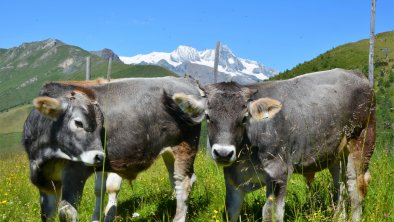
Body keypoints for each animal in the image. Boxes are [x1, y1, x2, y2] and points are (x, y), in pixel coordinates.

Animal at [22, 76, 202, 222]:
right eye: (78, 122)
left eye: (101, 126)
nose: (99, 156)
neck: (45, 156)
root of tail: (185, 80)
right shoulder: (45, 184)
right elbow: (47, 215)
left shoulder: (74, 173)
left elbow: (67, 213)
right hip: (169, 151)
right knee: (176, 180)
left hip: (185, 145)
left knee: (183, 182)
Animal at [175, 68, 376, 221]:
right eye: (208, 116)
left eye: (244, 118)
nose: (223, 153)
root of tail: (356, 73)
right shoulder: (233, 180)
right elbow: (231, 212)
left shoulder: (279, 174)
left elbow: (271, 215)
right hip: (334, 152)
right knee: (338, 185)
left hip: (362, 140)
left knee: (355, 187)